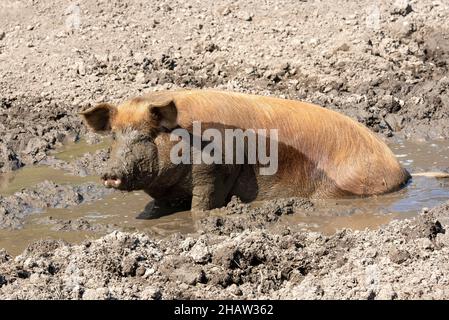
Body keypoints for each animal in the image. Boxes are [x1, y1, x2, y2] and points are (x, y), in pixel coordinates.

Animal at [79, 89, 410, 211]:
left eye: (147, 136)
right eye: (114, 137)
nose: (109, 174)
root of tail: (401, 171)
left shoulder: (216, 171)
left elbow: (202, 205)